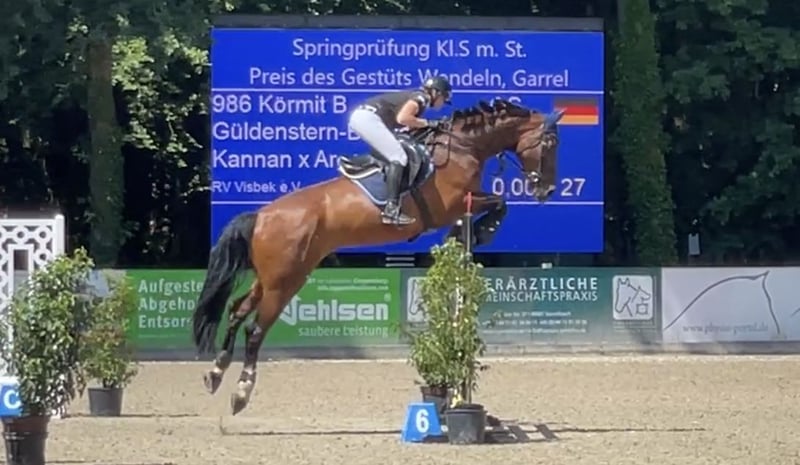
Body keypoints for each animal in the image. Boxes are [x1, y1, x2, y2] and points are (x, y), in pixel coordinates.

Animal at [191, 98, 565, 415]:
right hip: (284, 282)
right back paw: (241, 392)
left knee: (237, 311)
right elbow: (500, 202)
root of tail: (261, 215)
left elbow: (494, 205)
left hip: (274, 277)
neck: (463, 147)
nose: (546, 190)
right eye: (549, 144)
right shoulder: (455, 203)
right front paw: (484, 230)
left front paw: (467, 234)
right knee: (254, 329)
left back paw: (216, 373)